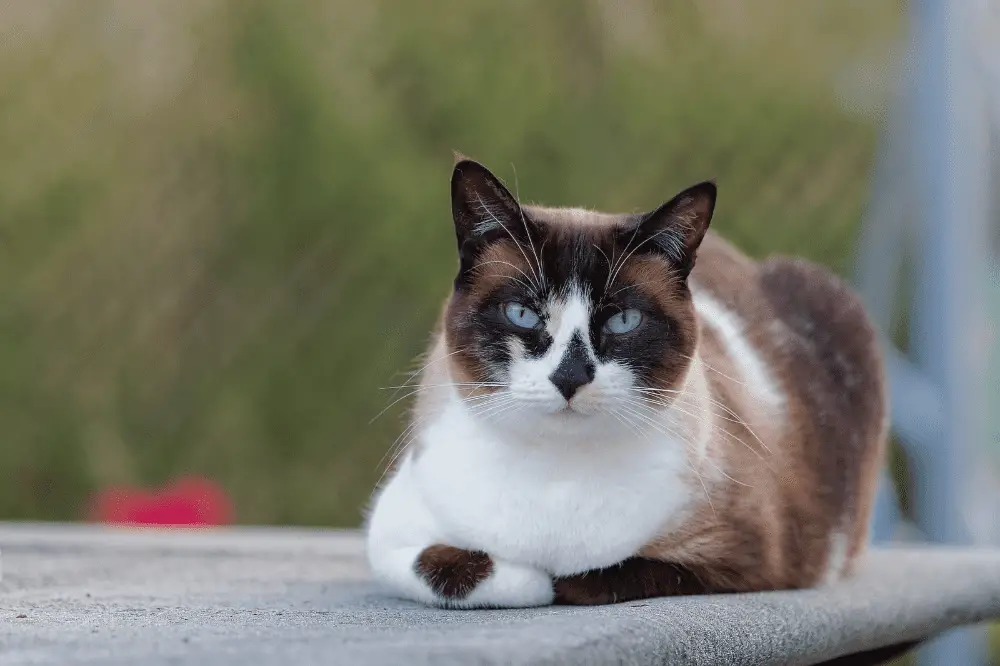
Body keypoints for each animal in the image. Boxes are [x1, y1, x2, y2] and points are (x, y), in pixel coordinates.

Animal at [364, 154, 888, 608]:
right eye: (522, 314)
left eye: (623, 322)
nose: (570, 376)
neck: (557, 474)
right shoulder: (388, 534)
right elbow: (455, 568)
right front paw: (523, 574)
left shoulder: (742, 560)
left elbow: (589, 577)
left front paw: (547, 577)